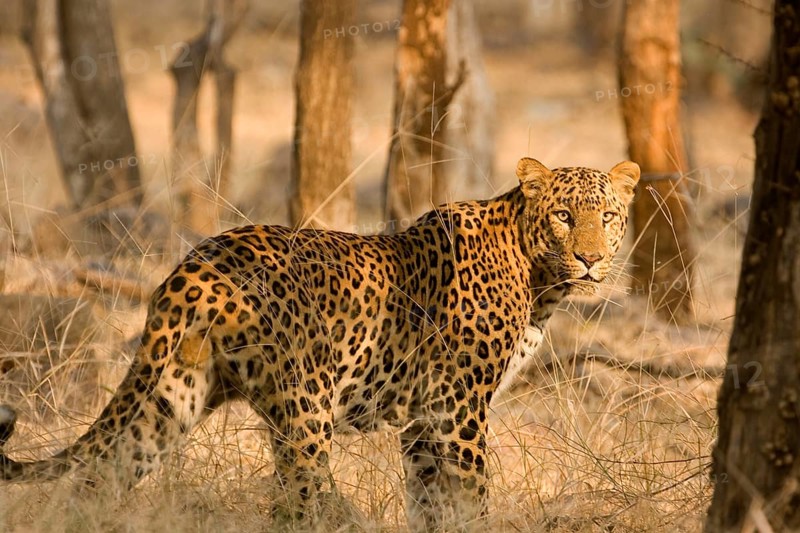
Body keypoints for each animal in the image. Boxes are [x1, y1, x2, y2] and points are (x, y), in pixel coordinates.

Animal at [0, 157, 640, 531]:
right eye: (563, 216)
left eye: (608, 217)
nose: (591, 259)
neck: (540, 281)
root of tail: (196, 262)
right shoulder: (457, 407)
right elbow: (470, 496)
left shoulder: (423, 421)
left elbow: (428, 500)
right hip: (306, 404)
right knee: (295, 499)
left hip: (174, 393)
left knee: (99, 479)